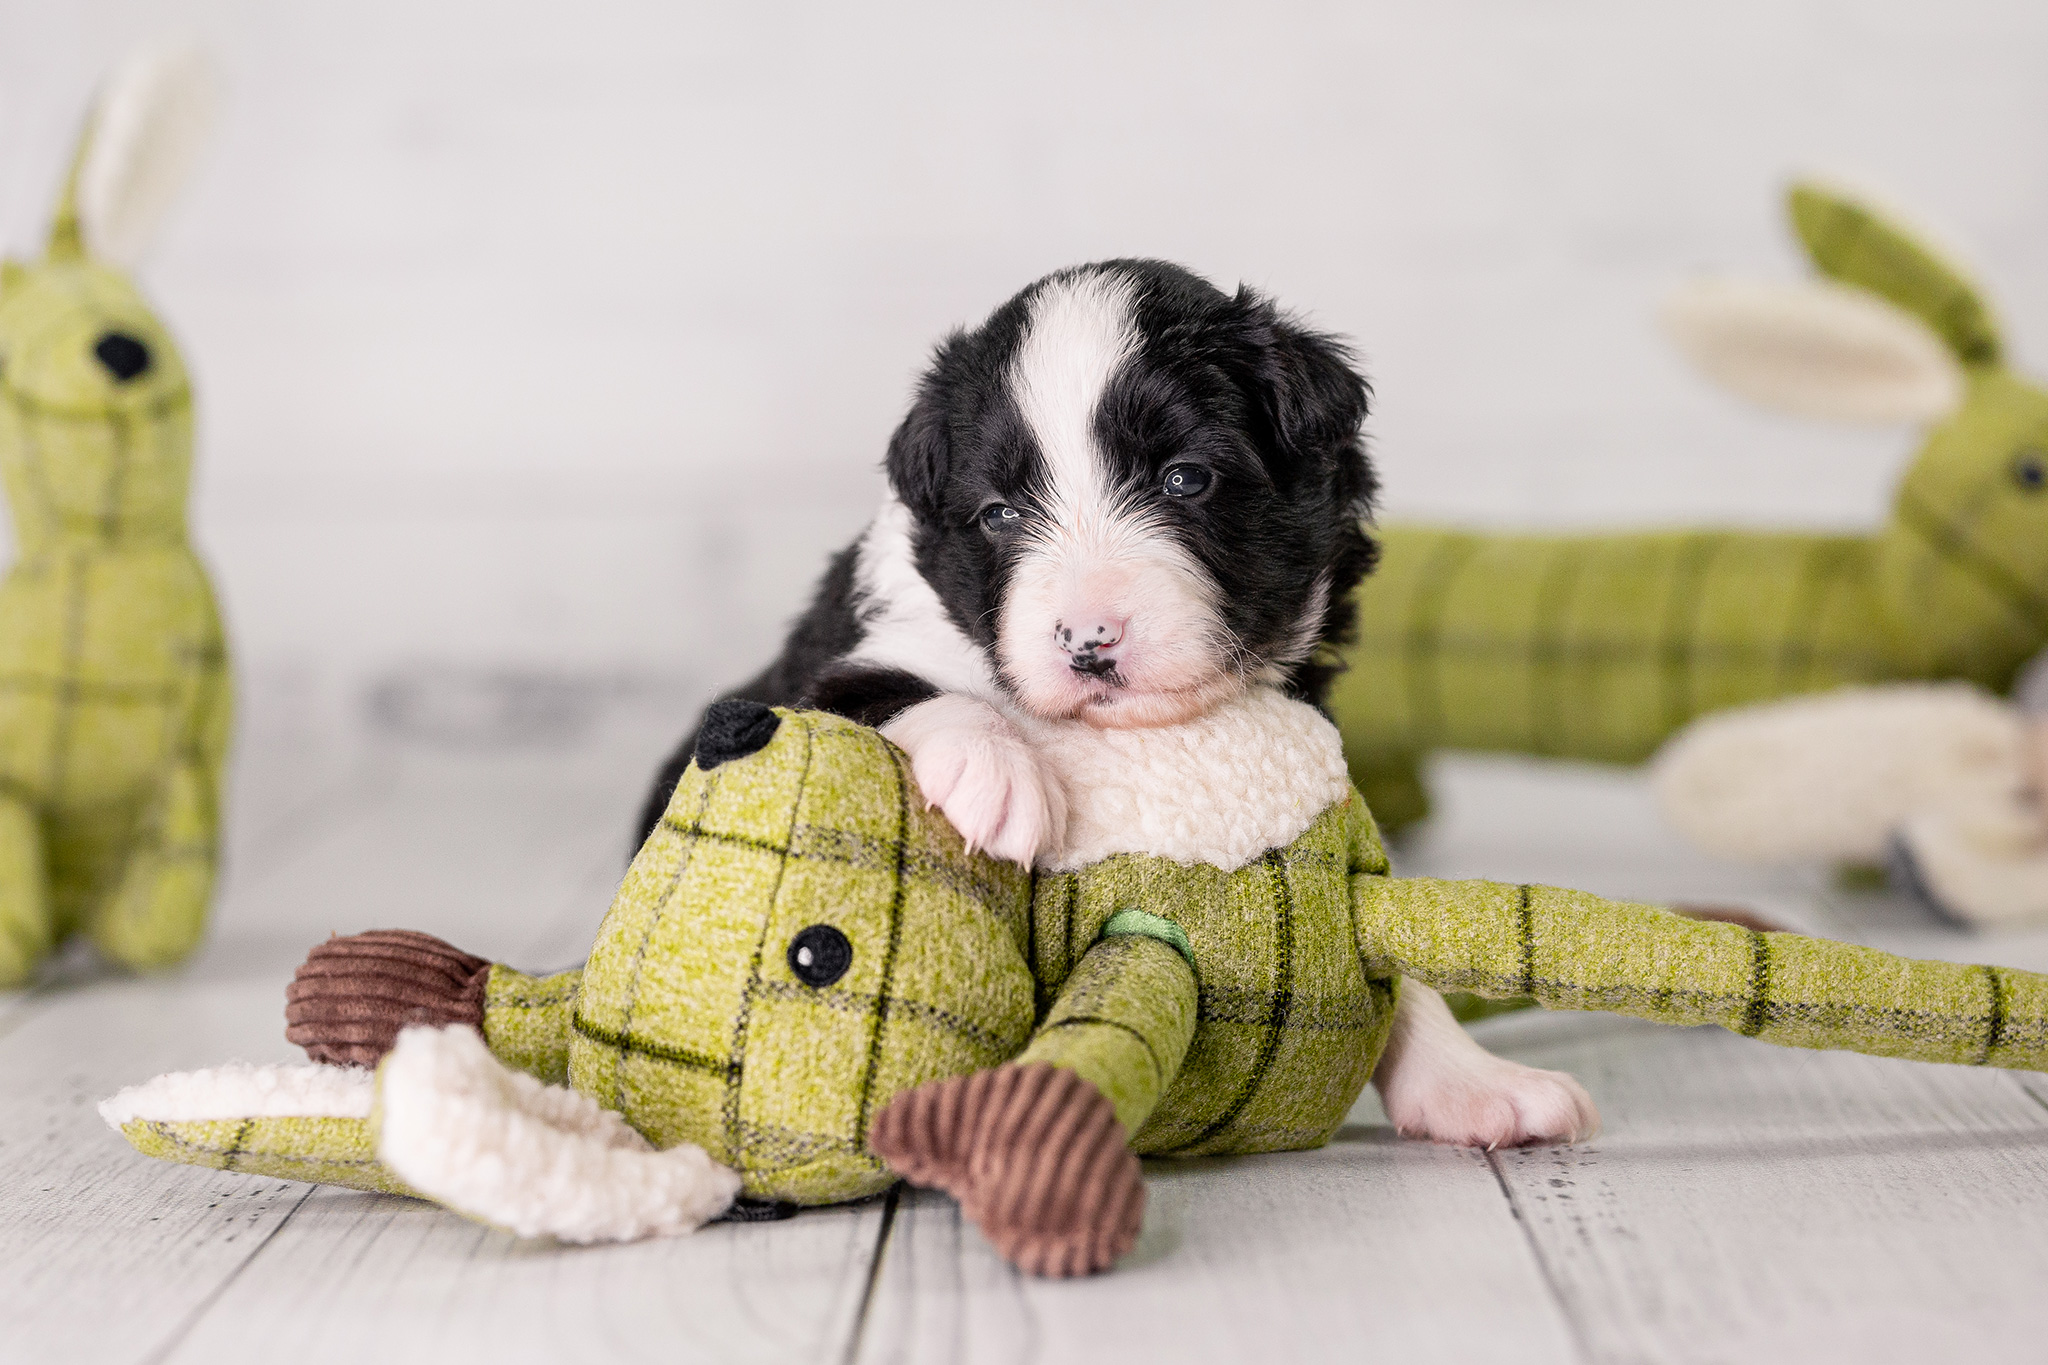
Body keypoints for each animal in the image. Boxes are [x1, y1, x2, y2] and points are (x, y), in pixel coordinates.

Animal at [638, 258, 1597, 1154]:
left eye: (1184, 479)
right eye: (999, 512)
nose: (1087, 639)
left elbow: (1384, 942)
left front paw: (1476, 1082)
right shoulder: (839, 666)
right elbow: (905, 688)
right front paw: (999, 776)